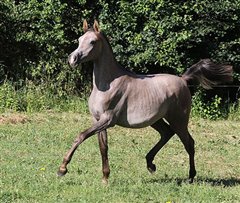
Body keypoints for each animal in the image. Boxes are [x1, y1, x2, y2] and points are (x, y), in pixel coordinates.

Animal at [56, 19, 232, 183]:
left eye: (92, 41)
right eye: (79, 39)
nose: (72, 59)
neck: (108, 85)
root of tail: (183, 80)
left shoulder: (108, 120)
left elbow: (81, 136)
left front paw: (62, 169)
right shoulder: (97, 119)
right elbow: (103, 147)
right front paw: (105, 177)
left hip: (179, 120)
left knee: (189, 143)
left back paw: (190, 176)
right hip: (157, 120)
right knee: (167, 133)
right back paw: (150, 164)